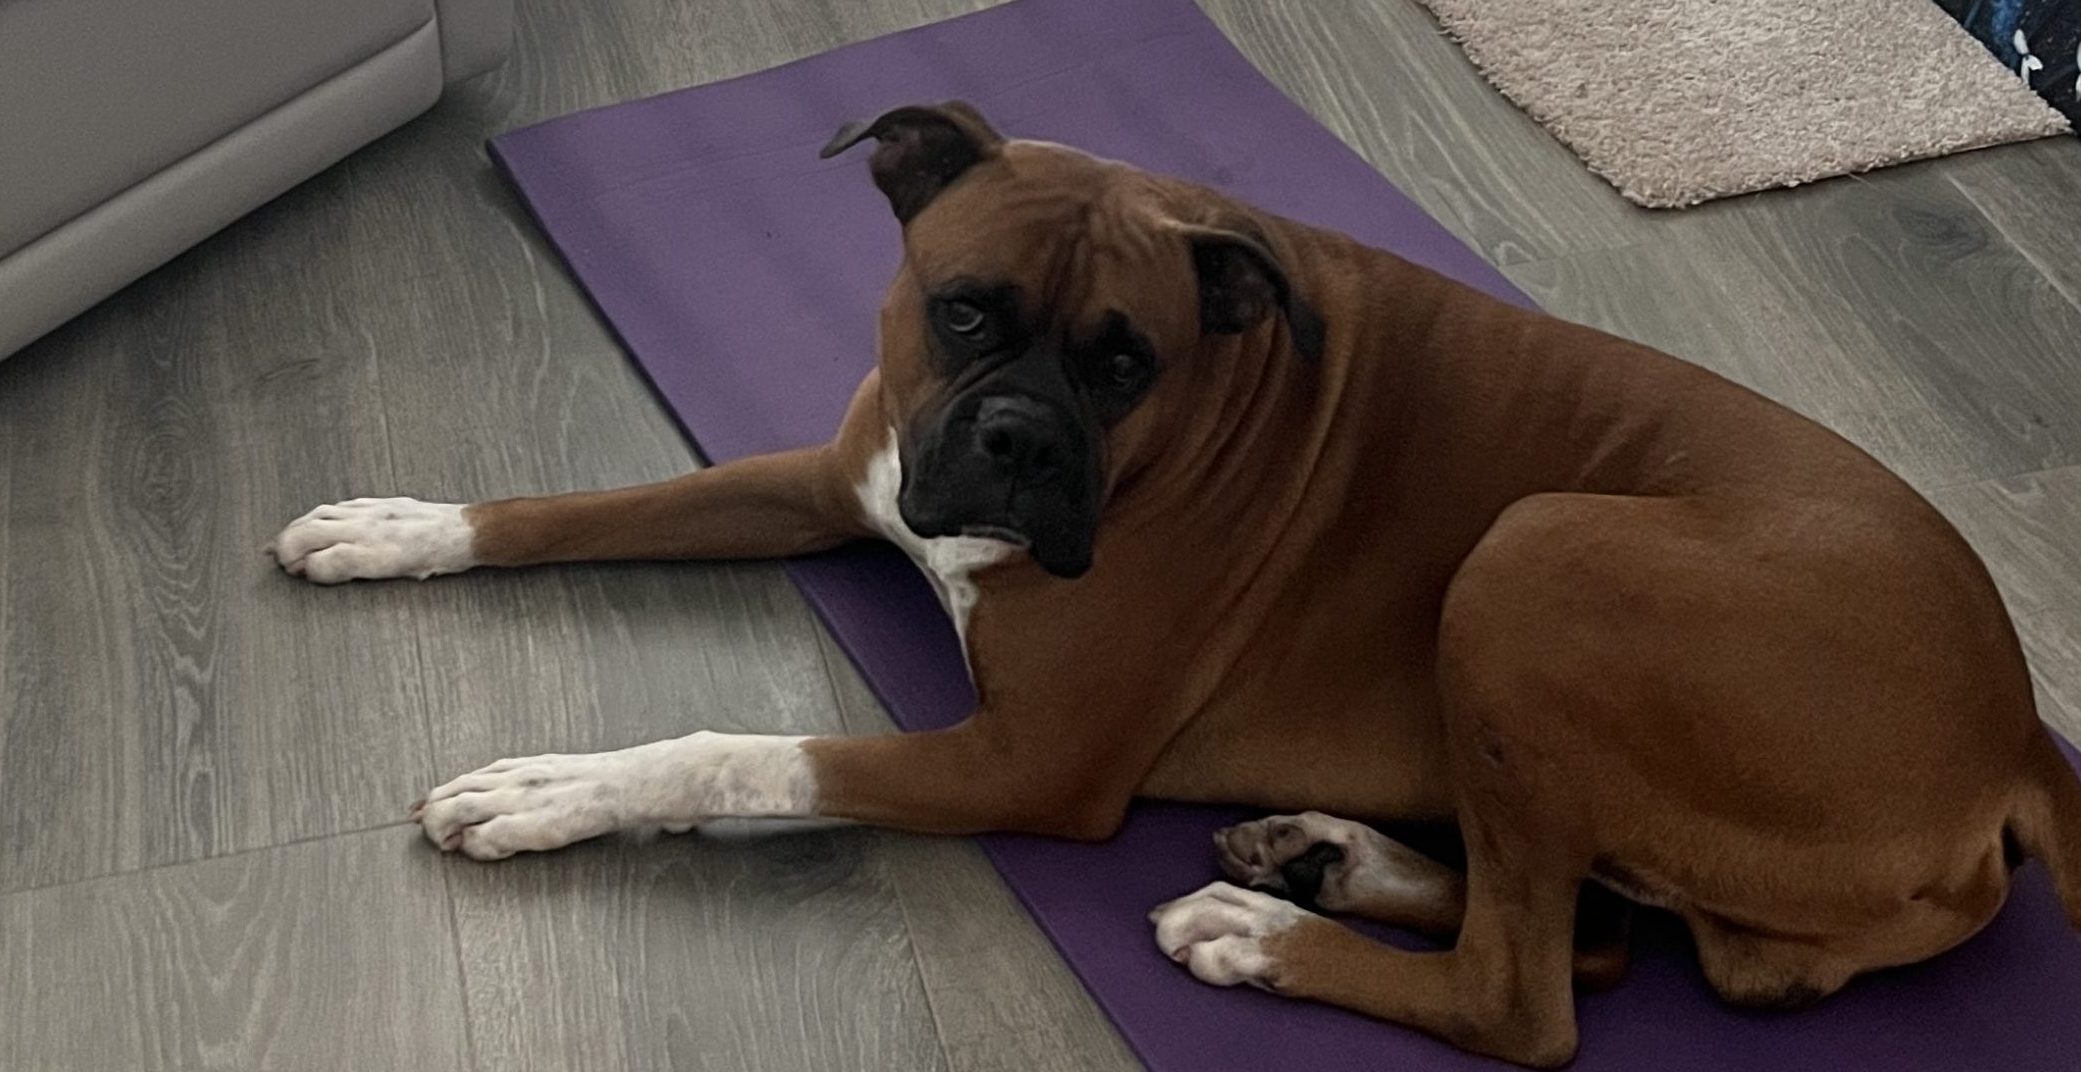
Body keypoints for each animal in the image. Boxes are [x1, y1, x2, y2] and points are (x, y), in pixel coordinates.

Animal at [264, 103, 2081, 1065]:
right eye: (966, 309)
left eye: (1124, 360)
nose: (1014, 440)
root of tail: (2017, 736)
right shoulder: (828, 480)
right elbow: (583, 502)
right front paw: (397, 527)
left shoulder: (1029, 765)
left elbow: (726, 753)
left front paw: (545, 788)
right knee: (1588, 944)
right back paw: (1319, 860)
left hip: (1532, 554)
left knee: (1532, 997)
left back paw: (1256, 934)